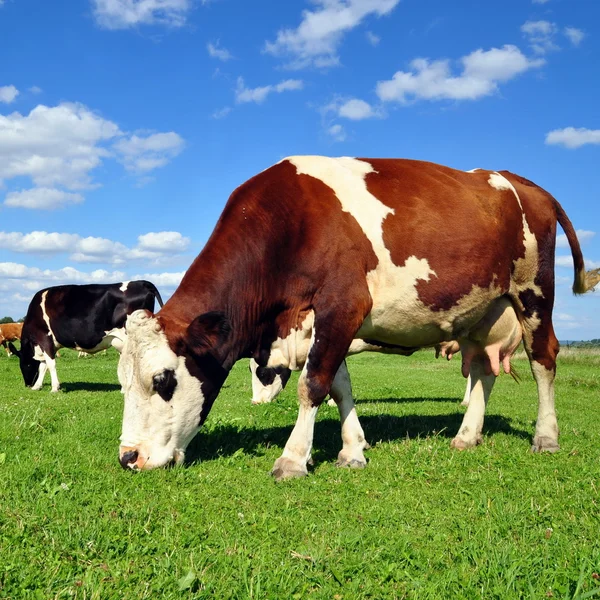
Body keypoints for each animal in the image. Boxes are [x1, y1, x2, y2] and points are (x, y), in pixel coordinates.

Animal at [9, 278, 164, 392]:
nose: (27, 384)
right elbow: (43, 365)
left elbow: (50, 364)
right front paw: (37, 386)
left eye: (24, 364)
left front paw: (54, 388)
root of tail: (143, 282)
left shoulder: (44, 337)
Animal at [117, 156, 600, 478]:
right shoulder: (326, 322)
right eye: (122, 383)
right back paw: (467, 435)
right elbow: (339, 386)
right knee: (483, 368)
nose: (127, 457)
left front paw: (293, 458)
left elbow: (313, 385)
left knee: (544, 359)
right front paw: (352, 451)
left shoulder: (342, 306)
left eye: (162, 379)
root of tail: (522, 182)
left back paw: (546, 436)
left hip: (533, 291)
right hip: (482, 310)